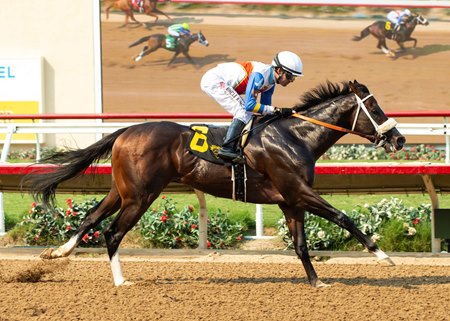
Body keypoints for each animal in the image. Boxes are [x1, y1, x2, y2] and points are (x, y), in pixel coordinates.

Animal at [23, 80, 404, 288]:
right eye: (374, 108)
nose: (399, 140)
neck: (296, 136)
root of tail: (125, 131)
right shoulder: (299, 192)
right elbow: (343, 217)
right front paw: (383, 256)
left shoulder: (290, 200)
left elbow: (300, 246)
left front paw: (316, 282)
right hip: (141, 196)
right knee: (113, 232)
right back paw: (120, 280)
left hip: (123, 190)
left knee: (91, 218)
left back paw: (58, 252)